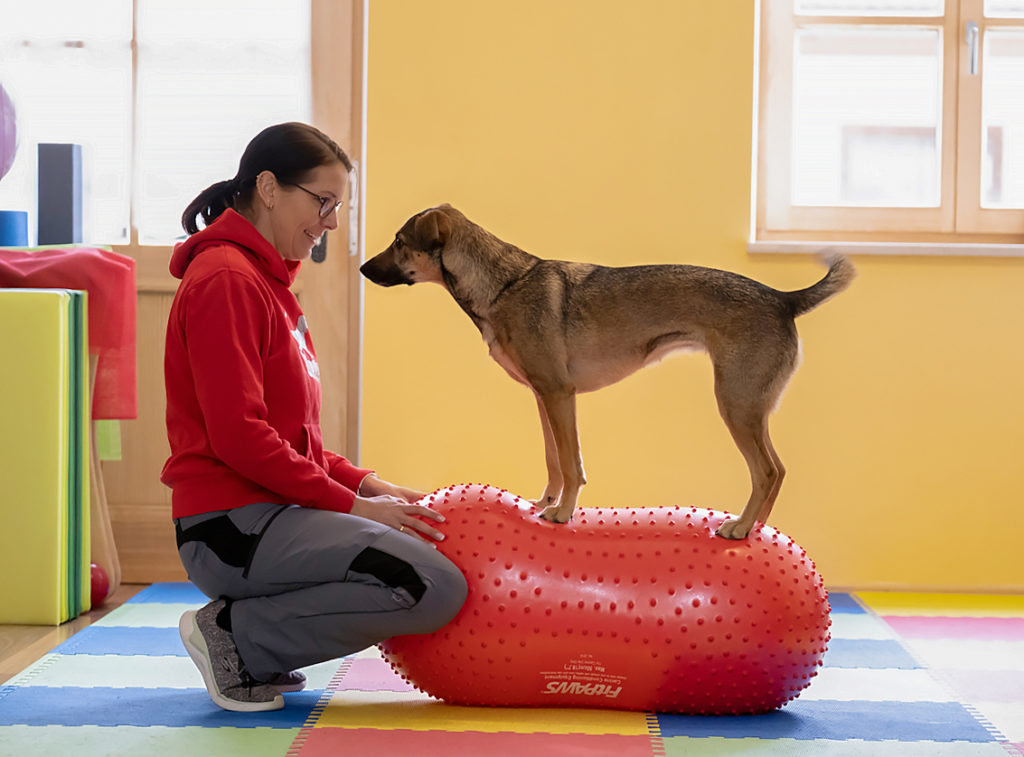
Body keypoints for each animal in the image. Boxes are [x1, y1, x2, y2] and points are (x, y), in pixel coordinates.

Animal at [362, 203, 856, 540]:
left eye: (400, 242)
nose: (364, 267)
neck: (503, 285)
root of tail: (783, 299)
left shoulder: (560, 394)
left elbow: (571, 463)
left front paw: (562, 514)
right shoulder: (544, 397)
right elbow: (553, 460)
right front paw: (544, 503)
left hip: (736, 404)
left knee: (767, 471)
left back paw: (741, 527)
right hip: (751, 409)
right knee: (777, 471)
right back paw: (756, 529)